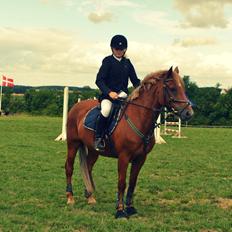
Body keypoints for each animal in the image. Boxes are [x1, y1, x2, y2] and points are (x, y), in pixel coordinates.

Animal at [64, 66, 193, 218]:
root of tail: (76, 107)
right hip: (73, 144)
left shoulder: (140, 158)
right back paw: (70, 197)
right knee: (69, 167)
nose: (189, 113)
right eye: (172, 88)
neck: (138, 117)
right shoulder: (124, 157)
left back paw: (90, 196)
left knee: (88, 168)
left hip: (93, 150)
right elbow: (122, 182)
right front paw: (120, 210)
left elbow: (132, 182)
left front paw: (130, 207)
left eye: (183, 88)